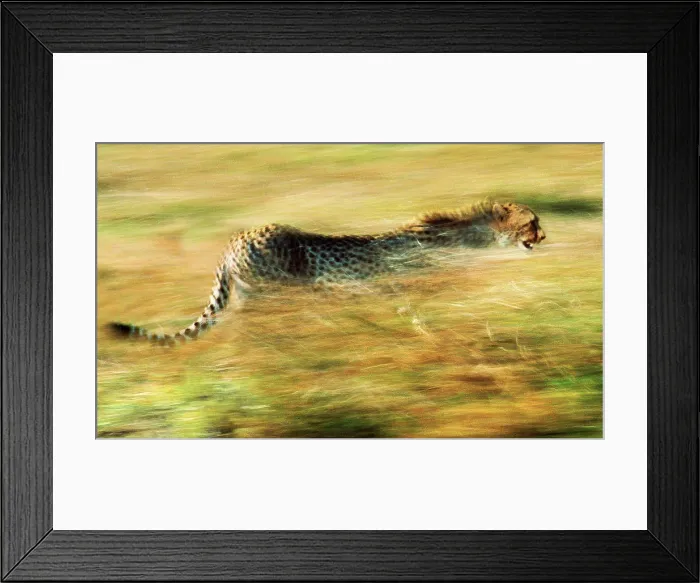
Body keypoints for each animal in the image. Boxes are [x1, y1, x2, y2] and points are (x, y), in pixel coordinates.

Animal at [107, 201, 545, 345]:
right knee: (255, 326)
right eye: (532, 221)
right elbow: (423, 317)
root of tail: (235, 239)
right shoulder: (405, 288)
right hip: (274, 294)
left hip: (256, 295)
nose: (544, 236)